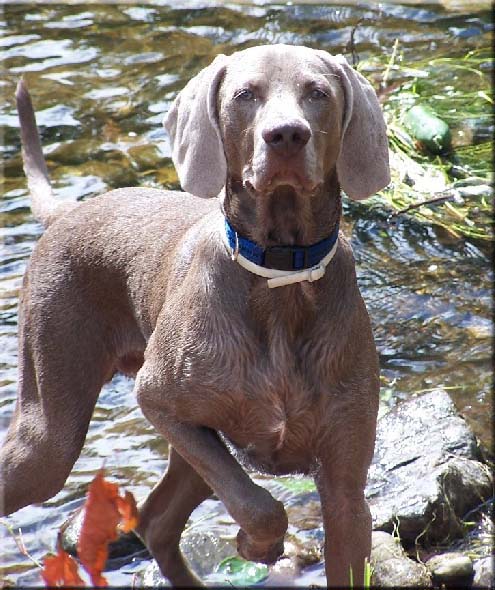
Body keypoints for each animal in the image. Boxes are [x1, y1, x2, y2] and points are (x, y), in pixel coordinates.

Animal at [0, 45, 392, 588]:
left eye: (318, 93)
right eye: (246, 94)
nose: (287, 135)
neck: (280, 274)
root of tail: (70, 212)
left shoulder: (346, 488)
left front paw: (255, 546)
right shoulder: (156, 398)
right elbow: (261, 506)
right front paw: (256, 546)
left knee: (157, 521)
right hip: (51, 438)